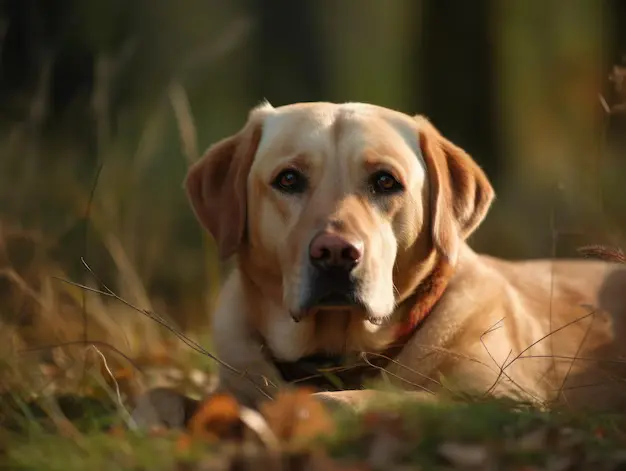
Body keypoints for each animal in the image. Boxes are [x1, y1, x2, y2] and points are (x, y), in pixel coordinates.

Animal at [134, 102, 624, 428]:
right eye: (288, 179)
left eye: (385, 181)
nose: (335, 252)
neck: (334, 354)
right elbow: (155, 396)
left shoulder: (507, 400)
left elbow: (360, 399)